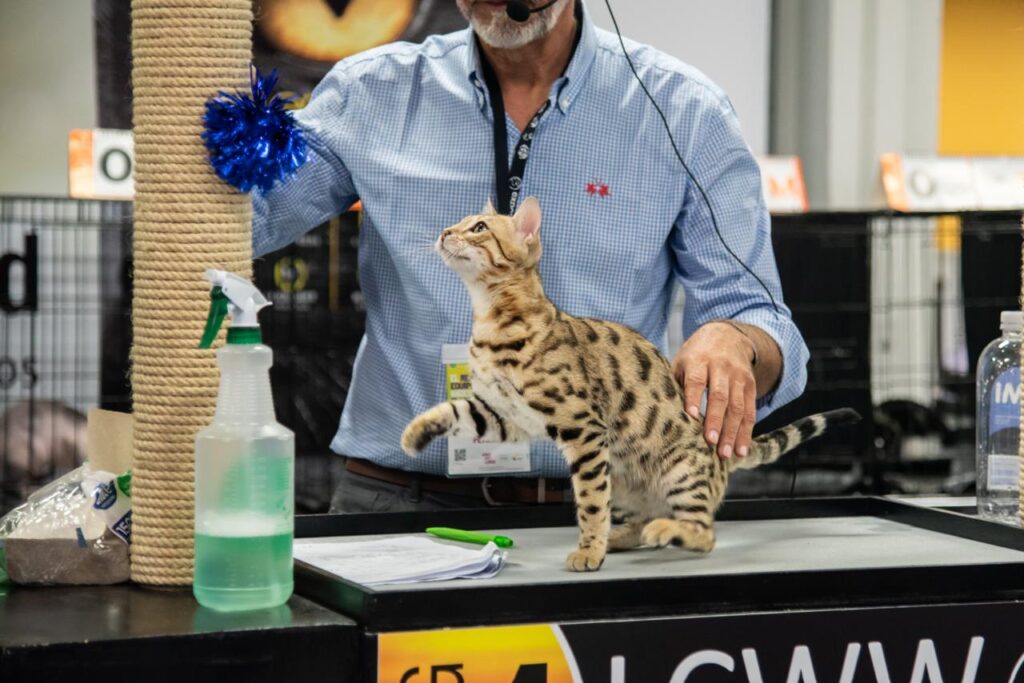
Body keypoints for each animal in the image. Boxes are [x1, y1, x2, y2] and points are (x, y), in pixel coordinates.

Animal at [399, 197, 856, 573]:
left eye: (478, 227)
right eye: (459, 222)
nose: (444, 232)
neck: (492, 317)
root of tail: (719, 456)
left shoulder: (581, 426)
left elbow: (589, 504)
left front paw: (589, 550)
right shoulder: (507, 415)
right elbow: (455, 410)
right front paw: (414, 433)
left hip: (674, 471)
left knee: (704, 531)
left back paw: (666, 532)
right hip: (617, 475)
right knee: (640, 517)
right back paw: (626, 535)